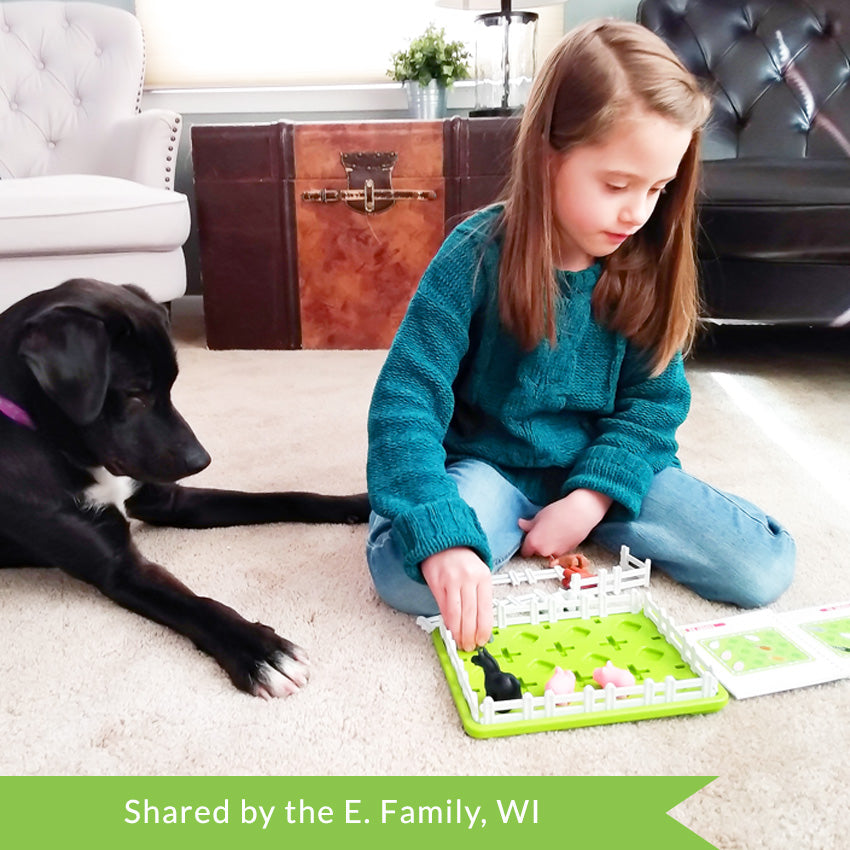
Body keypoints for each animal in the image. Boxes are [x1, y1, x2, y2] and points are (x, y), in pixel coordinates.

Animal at [0, 278, 368, 696]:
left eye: (171, 386)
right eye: (135, 393)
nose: (200, 460)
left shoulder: (170, 499)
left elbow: (284, 498)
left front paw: (358, 504)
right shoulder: (118, 568)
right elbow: (196, 603)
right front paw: (260, 651)